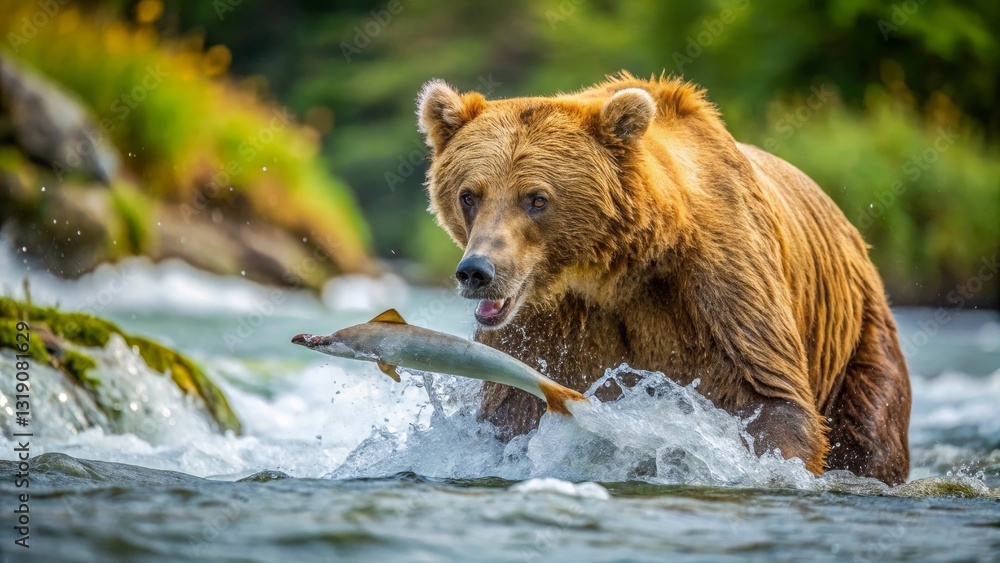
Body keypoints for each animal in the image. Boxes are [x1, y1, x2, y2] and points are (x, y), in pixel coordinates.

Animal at [417, 72, 911, 485]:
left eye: (536, 198)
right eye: (469, 195)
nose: (478, 271)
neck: (615, 270)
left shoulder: (719, 285)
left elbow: (769, 395)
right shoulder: (544, 320)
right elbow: (514, 405)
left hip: (856, 333)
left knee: (872, 424)